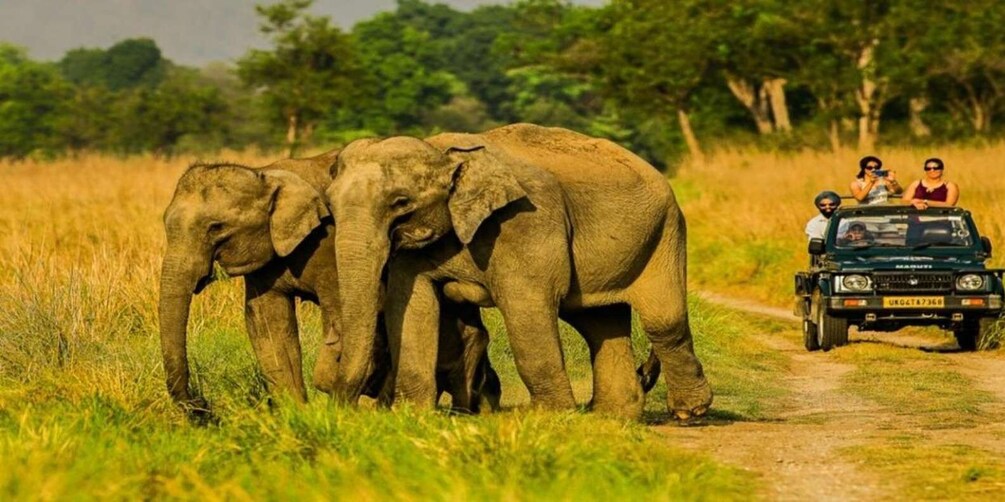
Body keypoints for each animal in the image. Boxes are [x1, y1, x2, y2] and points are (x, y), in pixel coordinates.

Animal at [158, 151, 500, 416]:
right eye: (165, 224)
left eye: (216, 227)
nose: (204, 409)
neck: (267, 175)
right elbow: (267, 324)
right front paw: (295, 415)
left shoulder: (328, 243)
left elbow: (342, 314)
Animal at [324, 123, 710, 421]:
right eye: (329, 204)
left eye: (401, 203)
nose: (345, 408)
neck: (443, 150)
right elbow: (412, 308)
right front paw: (413, 415)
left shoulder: (526, 221)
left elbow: (527, 308)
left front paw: (551, 418)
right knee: (599, 323)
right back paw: (613, 416)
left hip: (665, 230)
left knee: (663, 320)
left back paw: (688, 412)